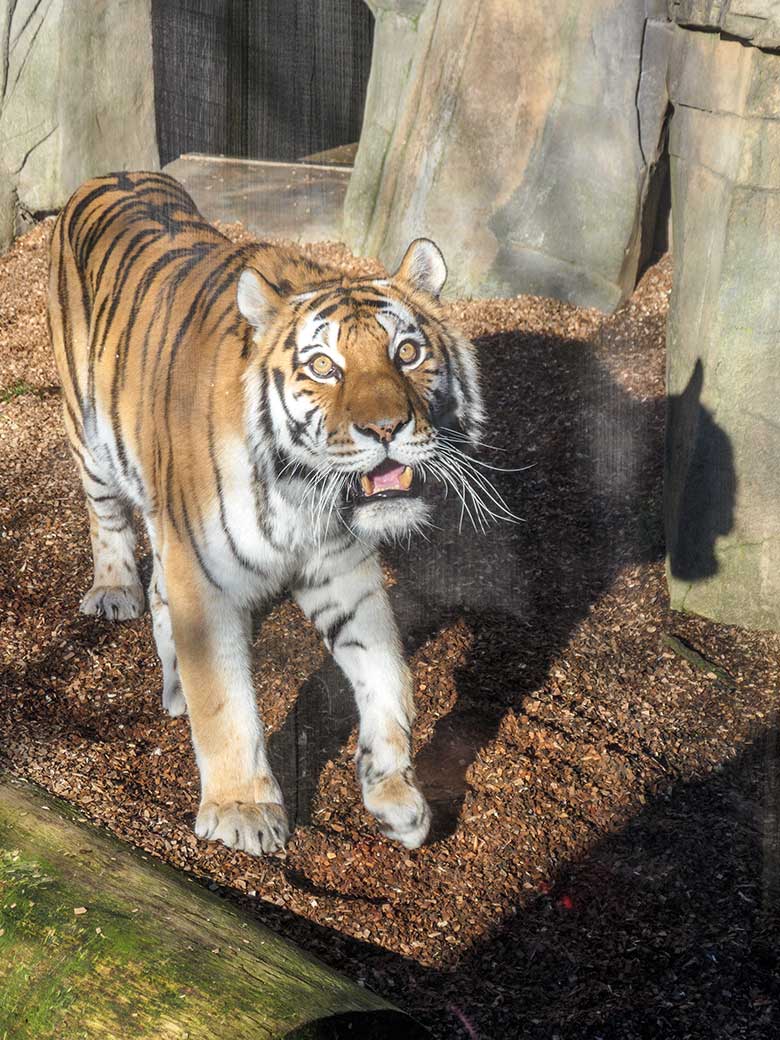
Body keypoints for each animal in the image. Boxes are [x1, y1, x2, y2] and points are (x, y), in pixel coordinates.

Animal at [45, 168, 486, 852]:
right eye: (323, 367)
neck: (304, 493)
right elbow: (225, 703)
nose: (386, 429)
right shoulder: (203, 575)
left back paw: (173, 684)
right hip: (89, 438)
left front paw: (396, 796)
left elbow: (387, 673)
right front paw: (243, 811)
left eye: (407, 354)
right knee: (109, 522)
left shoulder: (344, 573)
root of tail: (110, 174)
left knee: (160, 589)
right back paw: (115, 592)